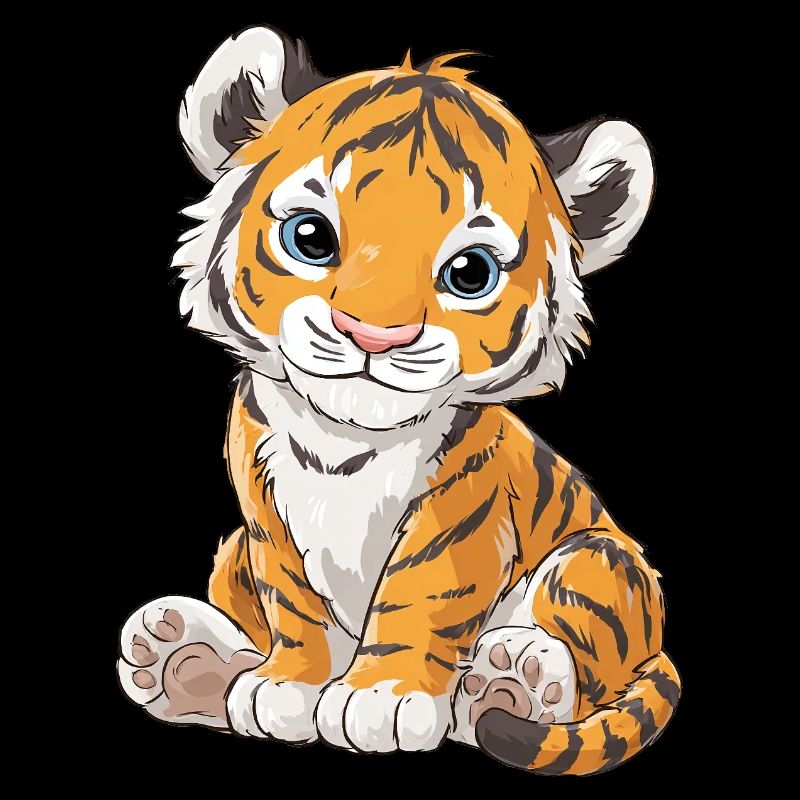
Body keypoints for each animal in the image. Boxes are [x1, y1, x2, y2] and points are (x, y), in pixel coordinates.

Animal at [117, 25, 680, 774]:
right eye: (310, 236)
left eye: (470, 273)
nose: (373, 333)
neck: (344, 441)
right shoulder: (263, 520)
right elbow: (291, 603)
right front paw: (284, 687)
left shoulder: (460, 515)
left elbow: (422, 597)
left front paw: (380, 698)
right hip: (232, 551)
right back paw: (180, 657)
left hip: (599, 559)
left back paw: (514, 679)